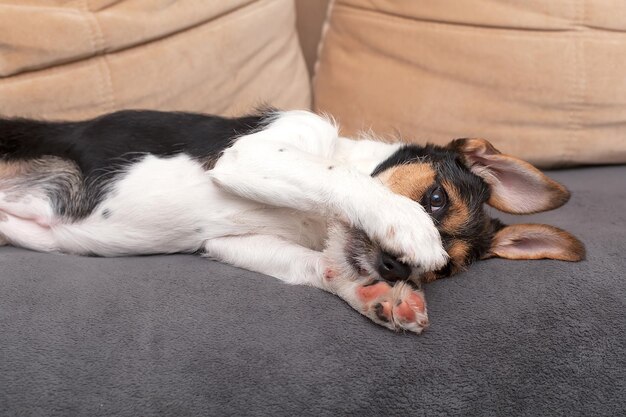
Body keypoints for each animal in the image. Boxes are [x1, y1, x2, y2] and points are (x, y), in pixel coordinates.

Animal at [0, 109, 584, 334]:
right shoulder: (252, 155)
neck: (313, 223)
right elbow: (337, 176)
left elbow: (317, 266)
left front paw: (379, 297)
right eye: (435, 199)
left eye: (443, 273)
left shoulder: (233, 242)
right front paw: (405, 225)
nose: (397, 268)